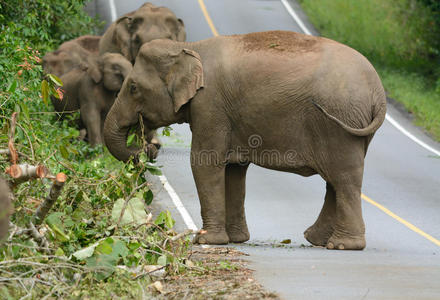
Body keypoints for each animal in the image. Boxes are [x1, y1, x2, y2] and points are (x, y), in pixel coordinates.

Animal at [105, 30, 386, 251]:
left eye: (133, 87)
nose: (150, 149)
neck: (190, 47)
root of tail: (378, 92)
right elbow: (233, 170)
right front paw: (236, 239)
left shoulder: (210, 105)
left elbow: (205, 163)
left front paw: (205, 241)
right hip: (352, 127)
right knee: (335, 181)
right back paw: (316, 239)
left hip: (341, 121)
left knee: (344, 179)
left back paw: (342, 245)